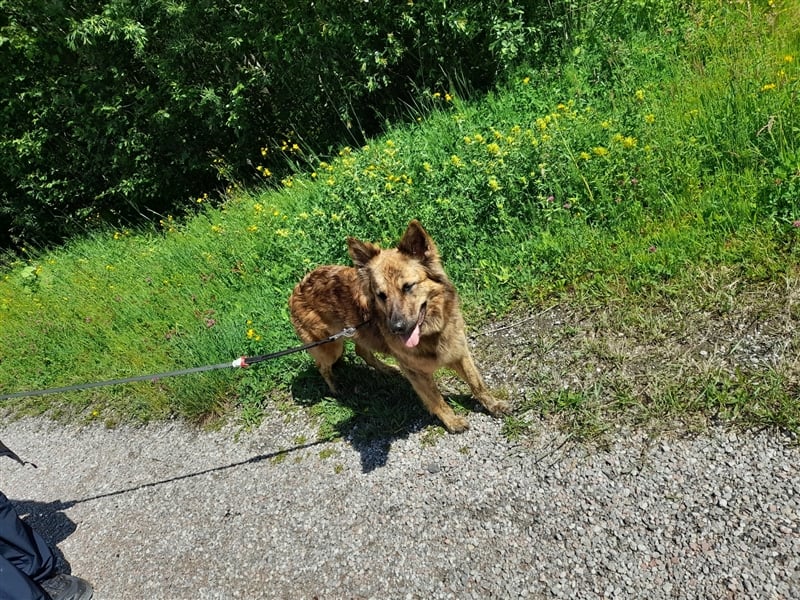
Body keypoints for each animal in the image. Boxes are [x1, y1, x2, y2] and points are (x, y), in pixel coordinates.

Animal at [290, 220, 510, 432]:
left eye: (407, 287)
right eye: (381, 295)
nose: (397, 328)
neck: (431, 332)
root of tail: (296, 289)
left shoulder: (459, 351)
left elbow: (477, 383)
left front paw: (493, 405)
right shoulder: (416, 372)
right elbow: (436, 400)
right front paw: (452, 421)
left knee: (362, 351)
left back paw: (386, 369)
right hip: (330, 347)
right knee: (323, 367)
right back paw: (335, 387)